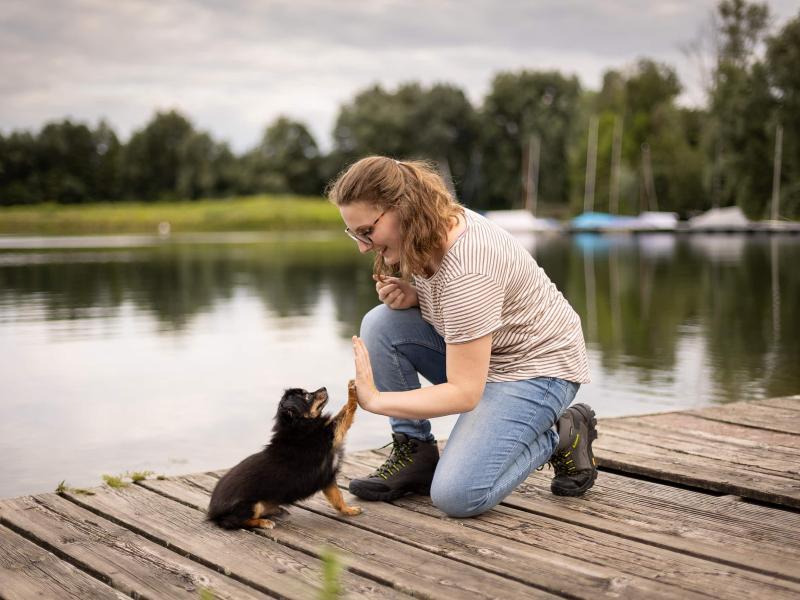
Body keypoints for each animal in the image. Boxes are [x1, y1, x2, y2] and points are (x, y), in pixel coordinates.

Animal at [206, 380, 360, 528]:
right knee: (235, 522)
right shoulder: (332, 433)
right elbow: (348, 409)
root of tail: (212, 512)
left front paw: (349, 510)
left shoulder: (328, 478)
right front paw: (352, 390)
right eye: (307, 396)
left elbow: (337, 498)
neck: (299, 426)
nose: (324, 388)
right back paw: (264, 522)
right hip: (252, 506)